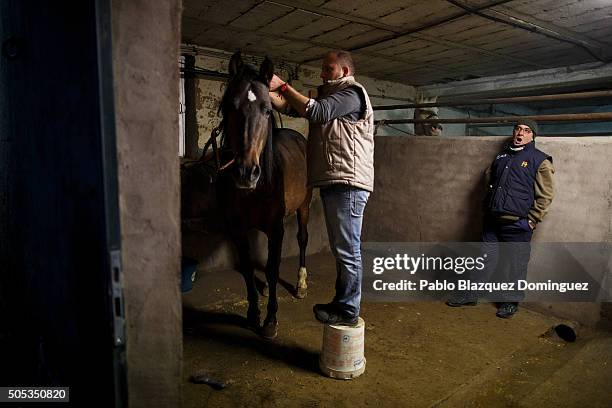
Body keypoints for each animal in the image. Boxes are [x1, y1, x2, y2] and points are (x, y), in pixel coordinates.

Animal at [214, 51, 310, 338]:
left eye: (267, 110)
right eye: (229, 107)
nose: (246, 172)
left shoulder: (276, 228)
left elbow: (273, 267)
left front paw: (270, 320)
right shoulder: (237, 228)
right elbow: (248, 268)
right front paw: (253, 313)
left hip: (304, 206)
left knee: (302, 239)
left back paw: (301, 285)